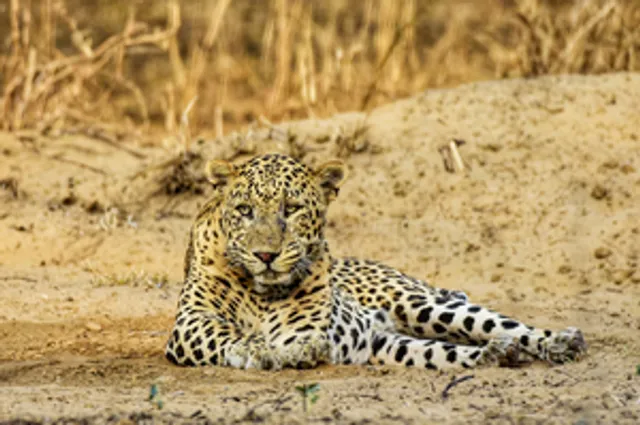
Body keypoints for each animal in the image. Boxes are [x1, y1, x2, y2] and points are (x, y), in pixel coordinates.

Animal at [165, 153, 587, 370]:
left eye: (292, 209)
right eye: (245, 210)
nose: (265, 255)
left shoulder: (309, 325)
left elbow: (296, 338)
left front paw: (290, 351)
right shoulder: (189, 323)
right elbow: (226, 331)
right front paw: (257, 350)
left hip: (419, 304)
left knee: (502, 325)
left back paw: (560, 342)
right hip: (388, 343)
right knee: (444, 351)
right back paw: (497, 354)